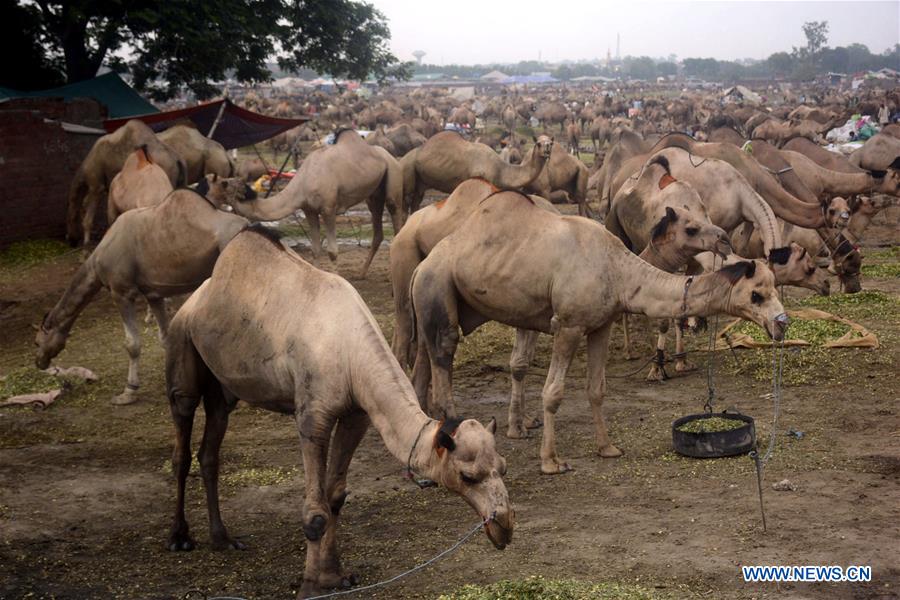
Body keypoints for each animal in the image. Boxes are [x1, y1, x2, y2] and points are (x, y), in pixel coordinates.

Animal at [34, 180, 251, 404]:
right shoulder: (153, 294)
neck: (97, 261)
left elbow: (132, 343)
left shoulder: (122, 292)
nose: (39, 362)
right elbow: (165, 337)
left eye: (36, 341)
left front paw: (128, 391)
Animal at [163, 226, 512, 600]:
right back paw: (179, 537)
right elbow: (316, 512)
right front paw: (310, 586)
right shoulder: (312, 416)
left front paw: (334, 576)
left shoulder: (357, 413)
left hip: (221, 383)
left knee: (211, 446)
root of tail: (194, 300)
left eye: (503, 467)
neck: (351, 354)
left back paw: (223, 539)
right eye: (467, 476)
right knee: (182, 434)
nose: (504, 525)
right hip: (181, 345)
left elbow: (335, 498)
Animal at [220, 129, 402, 278]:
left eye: (226, 185)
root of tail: (388, 155)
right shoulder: (309, 210)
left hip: (392, 174)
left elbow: (332, 251)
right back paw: (362, 273)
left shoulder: (329, 209)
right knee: (377, 227)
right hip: (374, 195)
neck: (304, 181)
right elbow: (315, 249)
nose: (214, 186)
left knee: (396, 215)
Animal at [402, 131, 556, 213]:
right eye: (538, 144)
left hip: (421, 181)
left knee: (415, 202)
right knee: (405, 202)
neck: (500, 170)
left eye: (551, 143)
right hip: (408, 167)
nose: (547, 150)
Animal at [412, 192, 784, 474]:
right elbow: (553, 392)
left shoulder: (601, 325)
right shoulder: (568, 325)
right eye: (756, 294)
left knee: (423, 368)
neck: (618, 271)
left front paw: (607, 447)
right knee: (444, 366)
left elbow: (597, 389)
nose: (780, 322)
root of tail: (422, 265)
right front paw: (551, 461)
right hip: (437, 288)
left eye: (773, 287)